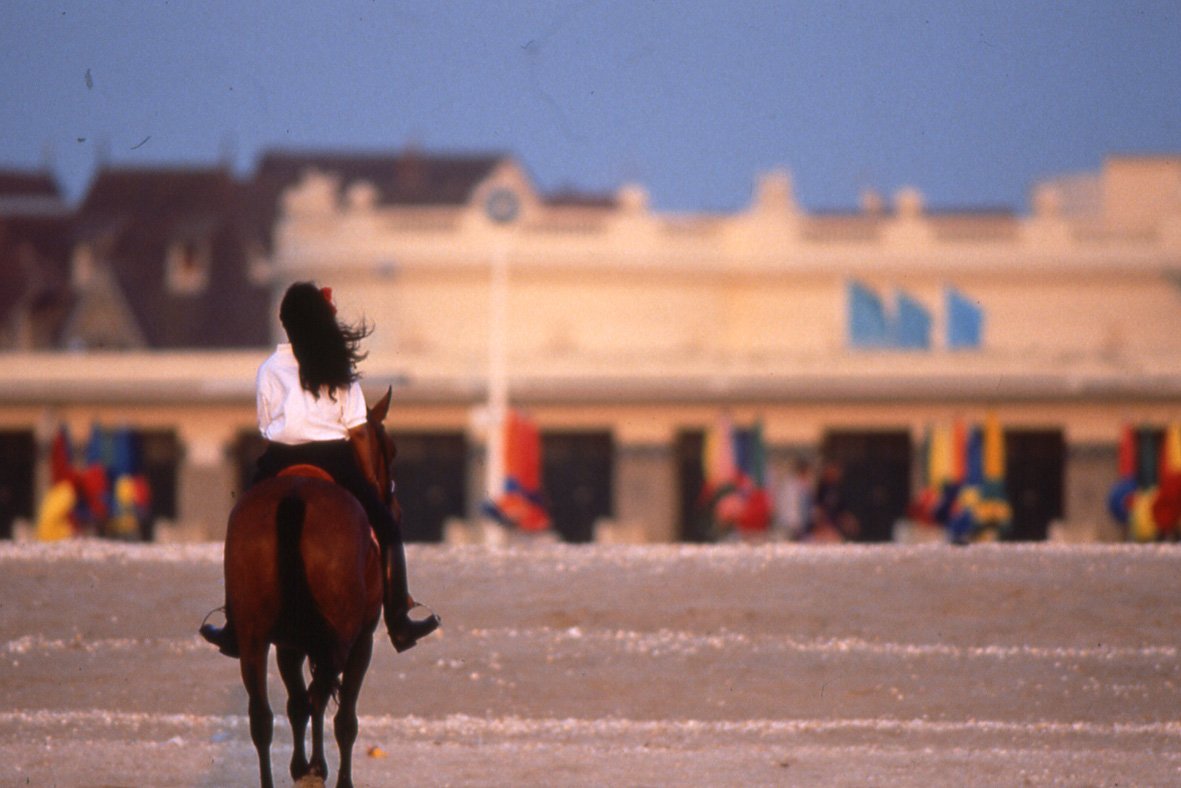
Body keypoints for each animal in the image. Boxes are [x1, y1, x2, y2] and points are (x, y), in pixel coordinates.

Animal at [223, 388, 396, 788]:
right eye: (391, 451)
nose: (391, 497)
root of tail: (295, 497)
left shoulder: (288, 643)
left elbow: (297, 705)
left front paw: (304, 767)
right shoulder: (361, 638)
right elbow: (339, 714)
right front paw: (316, 769)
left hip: (254, 636)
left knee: (263, 715)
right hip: (342, 636)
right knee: (326, 701)